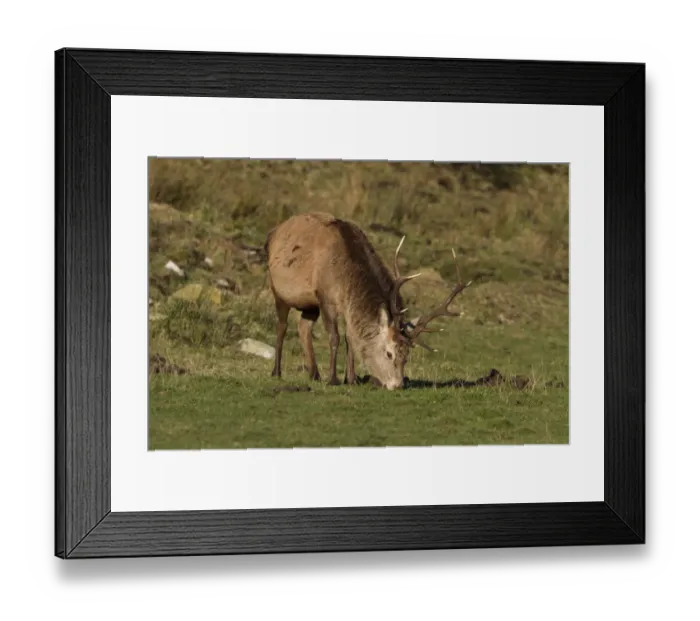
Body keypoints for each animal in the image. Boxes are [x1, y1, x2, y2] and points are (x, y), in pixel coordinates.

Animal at [264, 212, 471, 390]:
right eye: (389, 353)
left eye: (407, 356)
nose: (397, 385)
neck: (343, 276)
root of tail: (274, 232)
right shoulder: (325, 298)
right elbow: (335, 337)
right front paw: (333, 379)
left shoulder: (344, 305)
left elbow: (350, 338)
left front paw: (351, 379)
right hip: (278, 290)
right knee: (282, 327)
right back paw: (277, 372)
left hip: (309, 304)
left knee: (303, 327)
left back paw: (314, 374)